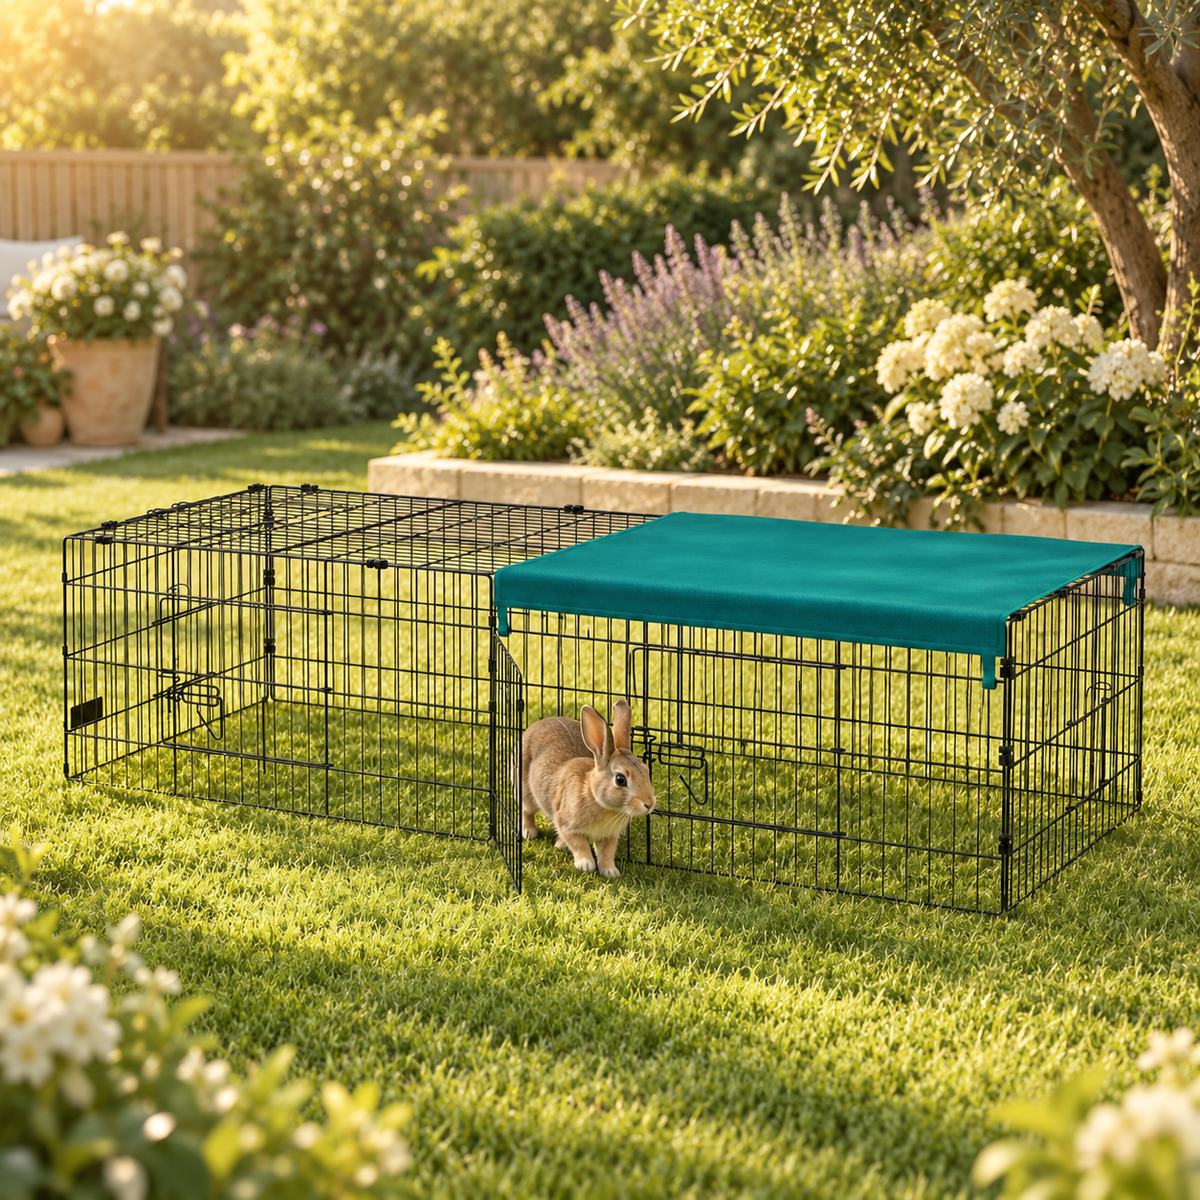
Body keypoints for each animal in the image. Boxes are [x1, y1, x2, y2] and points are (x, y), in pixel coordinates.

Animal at [513, 697, 655, 879]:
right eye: (620, 779)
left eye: (646, 770)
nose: (649, 804)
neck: (596, 798)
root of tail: (535, 725)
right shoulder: (566, 823)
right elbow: (578, 844)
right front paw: (586, 865)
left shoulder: (610, 836)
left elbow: (607, 852)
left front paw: (610, 871)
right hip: (523, 788)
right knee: (526, 811)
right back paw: (529, 833)